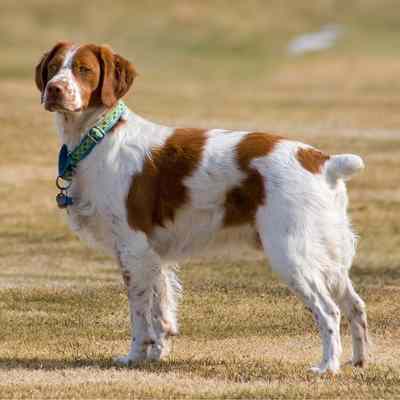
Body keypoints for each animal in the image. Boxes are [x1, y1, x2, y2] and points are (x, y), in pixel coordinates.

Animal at [35, 42, 368, 374]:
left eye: (84, 69)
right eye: (53, 67)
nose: (54, 90)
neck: (100, 137)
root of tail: (323, 161)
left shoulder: (133, 248)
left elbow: (140, 315)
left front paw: (134, 357)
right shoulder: (153, 255)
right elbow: (161, 308)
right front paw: (157, 354)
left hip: (291, 253)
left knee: (329, 311)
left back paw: (327, 366)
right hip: (327, 256)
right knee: (355, 305)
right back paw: (358, 361)